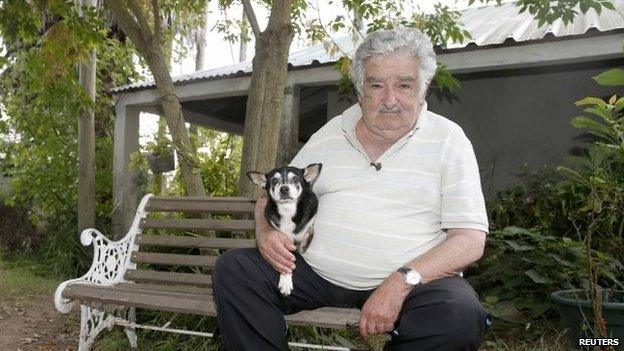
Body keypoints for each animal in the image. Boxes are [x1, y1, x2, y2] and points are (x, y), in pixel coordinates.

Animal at [246, 164, 322, 296]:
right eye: (274, 181)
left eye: (295, 179)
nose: (284, 189)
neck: (288, 211)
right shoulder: (283, 243)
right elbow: (287, 262)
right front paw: (285, 281)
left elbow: (309, 228)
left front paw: (305, 241)